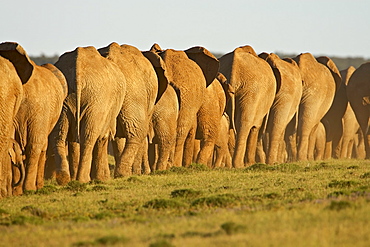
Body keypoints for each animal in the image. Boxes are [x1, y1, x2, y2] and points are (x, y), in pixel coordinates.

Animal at [52, 44, 127, 183]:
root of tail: (78, 70)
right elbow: (102, 136)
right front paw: (103, 179)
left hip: (64, 98)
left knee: (59, 135)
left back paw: (65, 179)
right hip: (96, 99)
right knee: (88, 136)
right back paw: (83, 180)